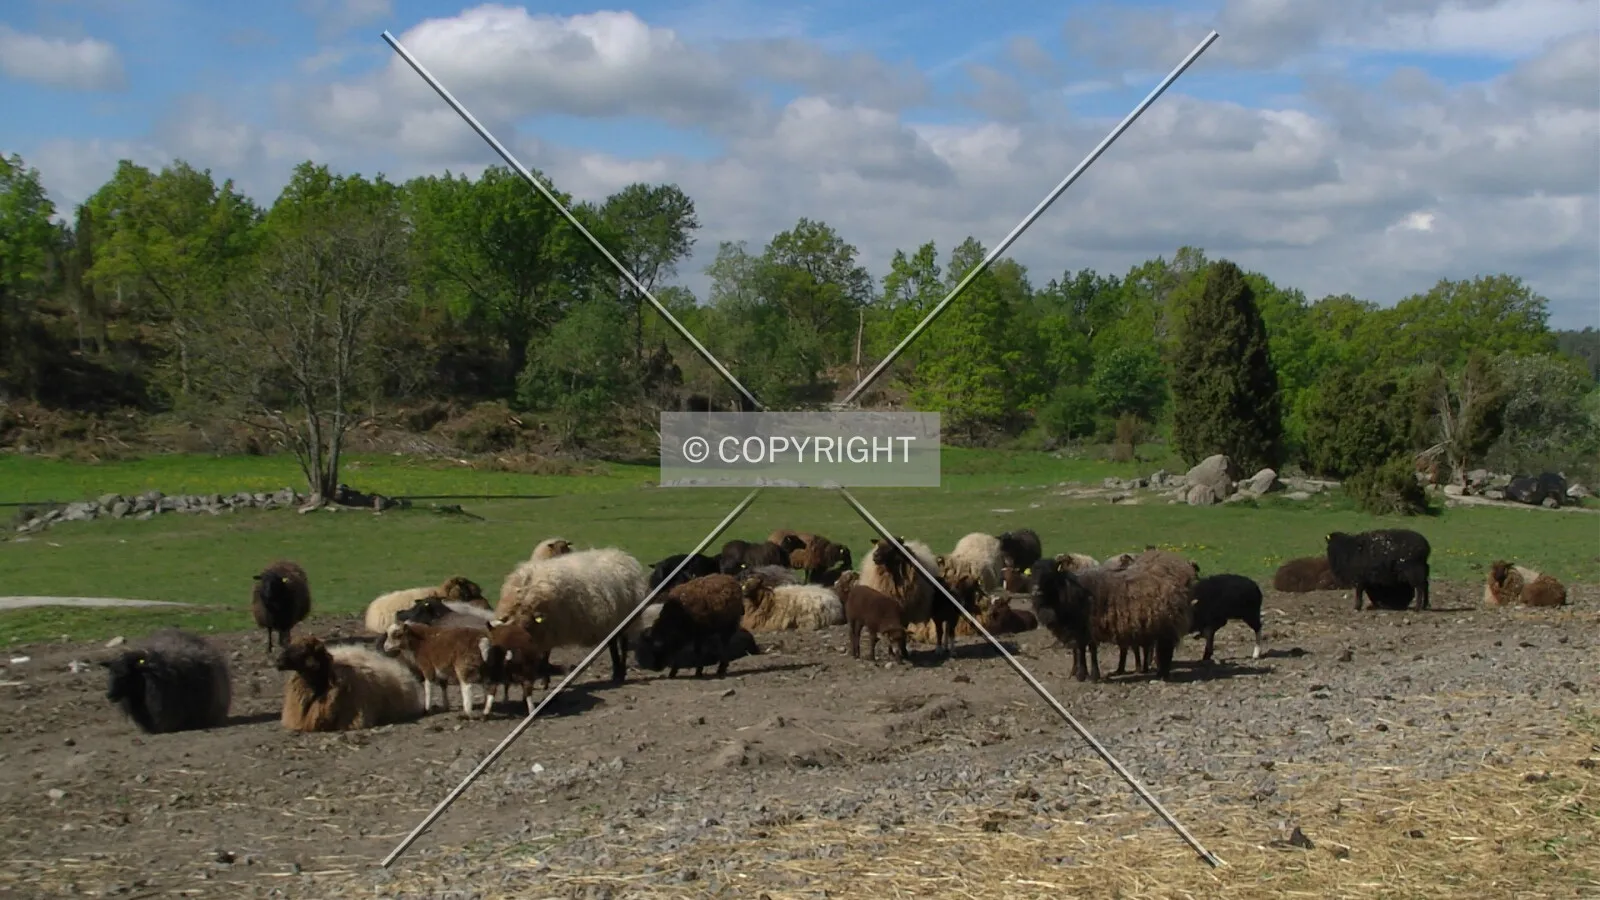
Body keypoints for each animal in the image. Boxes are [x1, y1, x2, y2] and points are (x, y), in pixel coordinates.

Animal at [494, 547, 650, 685]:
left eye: (526, 625)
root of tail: (623, 557)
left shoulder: (550, 626)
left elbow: (545, 653)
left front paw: (544, 680)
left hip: (627, 616)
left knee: (623, 645)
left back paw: (621, 673)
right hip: (613, 620)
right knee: (612, 644)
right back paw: (616, 673)